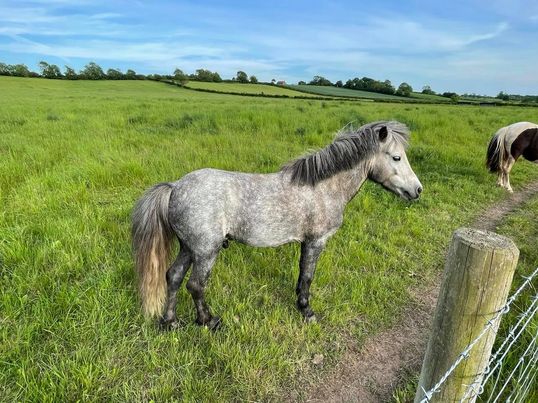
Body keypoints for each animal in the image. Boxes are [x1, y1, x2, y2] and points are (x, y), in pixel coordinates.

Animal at [132, 121, 420, 330]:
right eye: (396, 157)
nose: (417, 190)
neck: (323, 187)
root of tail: (175, 187)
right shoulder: (316, 241)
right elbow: (307, 276)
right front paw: (307, 311)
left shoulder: (306, 242)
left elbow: (302, 274)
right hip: (205, 251)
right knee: (195, 285)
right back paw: (208, 321)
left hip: (188, 248)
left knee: (173, 277)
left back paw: (170, 322)